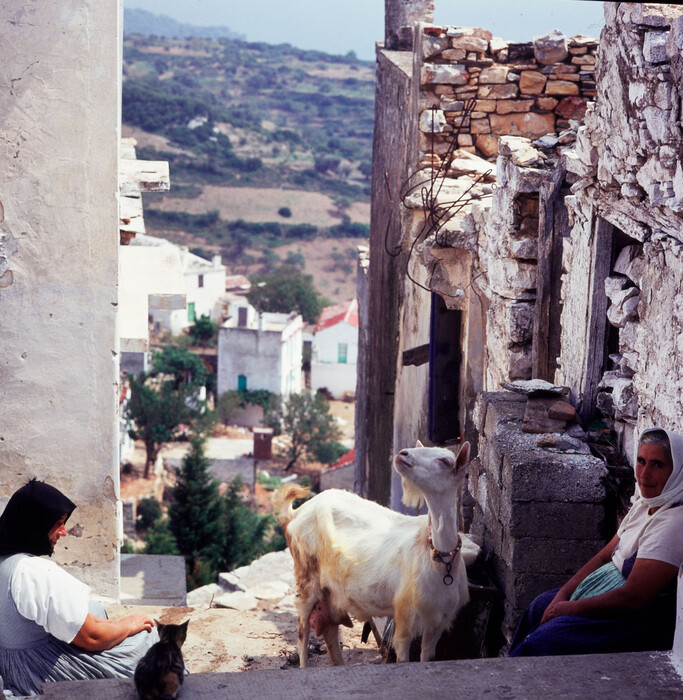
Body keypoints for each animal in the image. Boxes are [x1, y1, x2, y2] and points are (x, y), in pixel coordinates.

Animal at [276, 440, 478, 664]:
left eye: (444, 461)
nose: (402, 454)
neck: (440, 559)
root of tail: (295, 514)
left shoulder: (439, 620)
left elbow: (427, 655)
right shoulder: (405, 616)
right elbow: (403, 658)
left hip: (332, 592)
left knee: (329, 629)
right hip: (306, 578)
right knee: (303, 630)